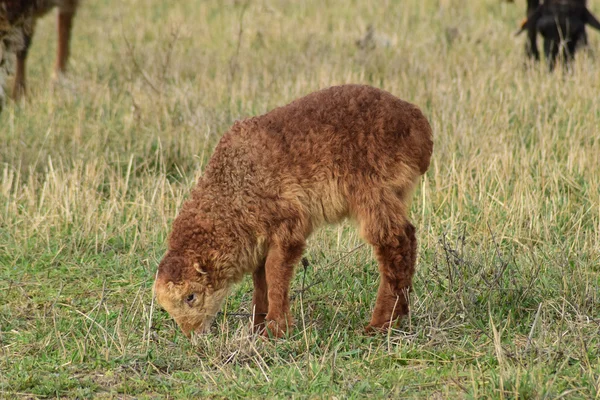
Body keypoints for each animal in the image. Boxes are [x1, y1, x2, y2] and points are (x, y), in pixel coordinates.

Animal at [155, 84, 434, 338]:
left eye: (191, 296)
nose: (191, 334)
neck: (234, 185)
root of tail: (420, 126)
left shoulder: (287, 228)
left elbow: (275, 276)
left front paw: (276, 329)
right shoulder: (259, 238)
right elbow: (261, 281)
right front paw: (257, 326)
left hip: (373, 191)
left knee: (395, 243)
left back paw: (380, 324)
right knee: (406, 239)